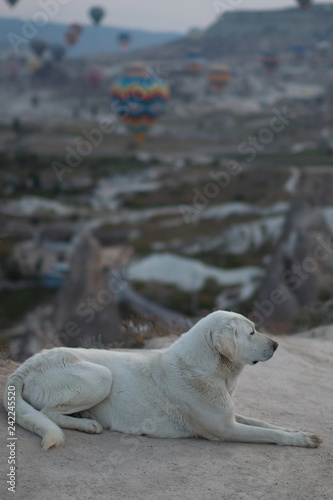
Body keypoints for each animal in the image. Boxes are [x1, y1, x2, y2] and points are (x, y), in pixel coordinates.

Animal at [3, 310, 320, 452]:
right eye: (252, 332)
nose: (277, 344)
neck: (208, 368)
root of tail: (25, 366)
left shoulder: (230, 413)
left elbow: (265, 423)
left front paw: (296, 430)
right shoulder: (225, 429)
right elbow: (267, 434)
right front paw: (301, 439)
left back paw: (85, 416)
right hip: (101, 376)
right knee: (48, 412)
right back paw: (87, 424)